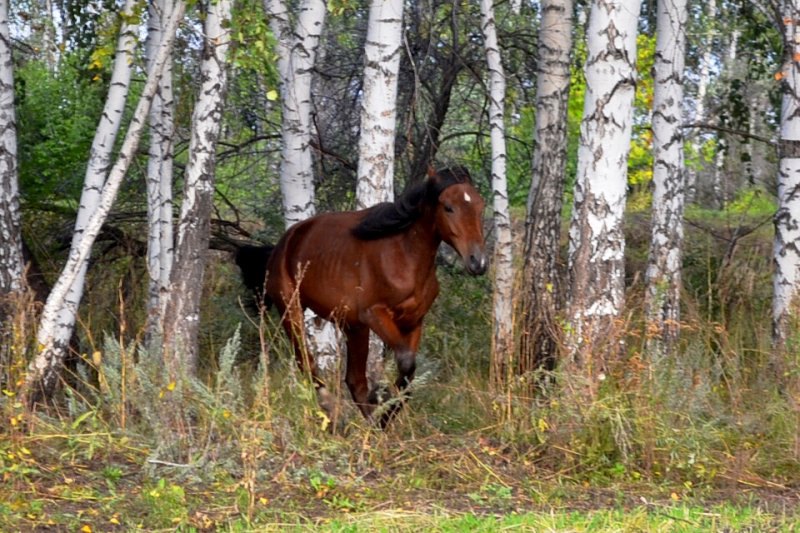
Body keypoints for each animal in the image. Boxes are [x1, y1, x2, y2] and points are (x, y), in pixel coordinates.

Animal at [266, 167, 484, 428]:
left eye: (480, 206)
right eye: (448, 207)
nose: (478, 261)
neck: (404, 256)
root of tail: (287, 240)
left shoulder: (413, 321)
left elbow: (407, 375)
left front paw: (384, 409)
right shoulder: (374, 314)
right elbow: (406, 361)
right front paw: (383, 400)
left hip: (353, 327)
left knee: (354, 379)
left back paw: (368, 423)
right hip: (293, 312)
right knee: (307, 364)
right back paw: (333, 411)